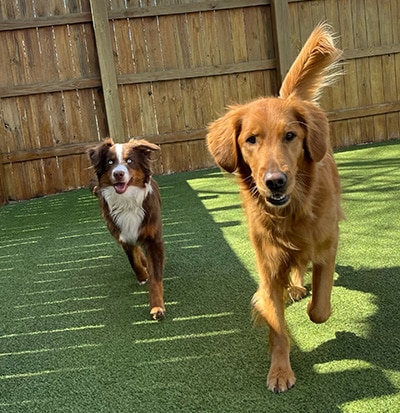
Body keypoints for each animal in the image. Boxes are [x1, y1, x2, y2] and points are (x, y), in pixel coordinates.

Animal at [88, 138, 165, 318]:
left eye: (130, 161)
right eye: (110, 162)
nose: (118, 174)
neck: (127, 202)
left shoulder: (153, 238)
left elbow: (155, 277)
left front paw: (157, 307)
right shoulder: (122, 235)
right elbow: (133, 261)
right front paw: (142, 275)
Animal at [208, 24, 342, 392]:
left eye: (290, 136)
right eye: (251, 139)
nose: (275, 181)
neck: (292, 210)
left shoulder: (326, 245)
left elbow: (320, 309)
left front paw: (318, 311)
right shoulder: (268, 265)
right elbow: (276, 320)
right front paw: (280, 370)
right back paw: (294, 285)